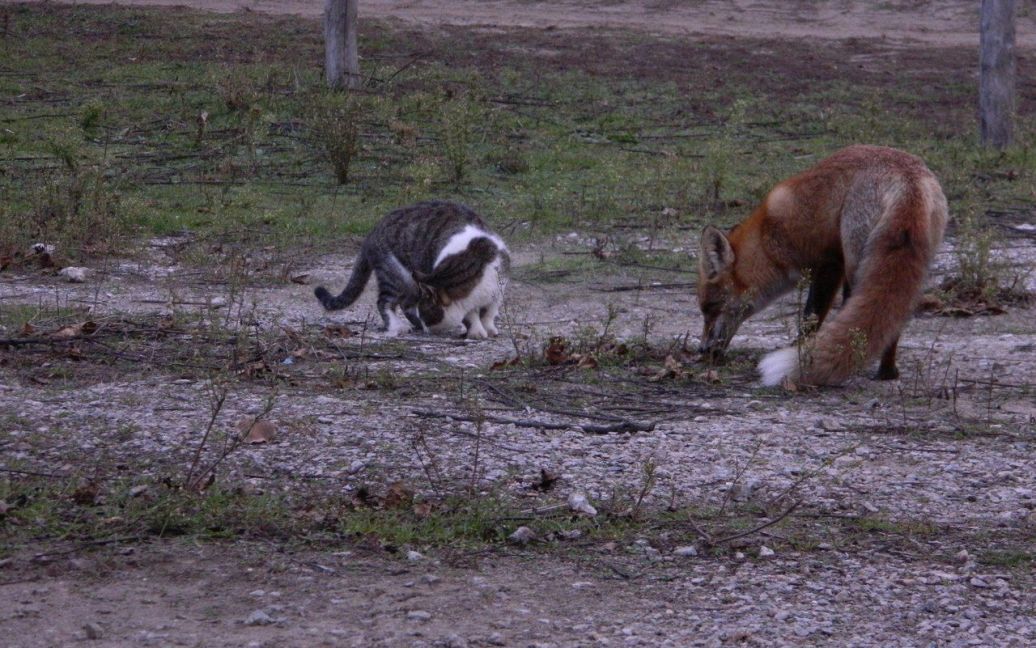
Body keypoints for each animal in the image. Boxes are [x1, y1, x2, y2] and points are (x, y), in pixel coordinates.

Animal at [314, 200, 509, 335]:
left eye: (426, 316)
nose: (424, 326)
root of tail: (372, 232)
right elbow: (473, 313)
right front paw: (477, 331)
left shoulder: (499, 288)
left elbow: (490, 311)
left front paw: (488, 327)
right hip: (396, 273)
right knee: (385, 302)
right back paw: (397, 326)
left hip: (412, 282)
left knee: (405, 304)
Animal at [696, 146, 948, 383]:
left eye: (710, 307)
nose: (702, 350)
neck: (768, 235)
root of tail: (908, 180)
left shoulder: (829, 263)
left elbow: (810, 319)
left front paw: (802, 356)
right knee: (892, 317)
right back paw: (887, 372)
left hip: (857, 265)